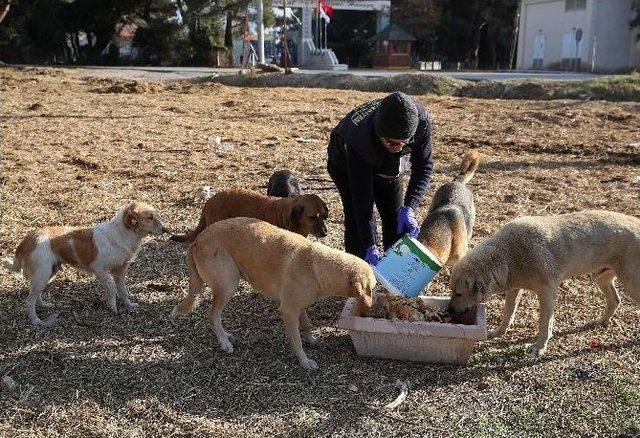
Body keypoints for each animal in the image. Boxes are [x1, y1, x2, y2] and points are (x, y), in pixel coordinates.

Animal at [3, 202, 168, 326]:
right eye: (150, 217)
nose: (166, 230)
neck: (122, 233)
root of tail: (26, 240)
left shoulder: (119, 272)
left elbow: (123, 291)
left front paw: (128, 305)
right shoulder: (100, 270)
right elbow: (112, 288)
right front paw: (112, 307)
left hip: (46, 274)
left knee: (35, 295)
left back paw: (44, 306)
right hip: (42, 274)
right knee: (29, 301)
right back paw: (36, 321)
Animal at [172, 217, 378, 372]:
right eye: (373, 288)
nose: (373, 308)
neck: (316, 265)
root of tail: (197, 241)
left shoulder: (298, 307)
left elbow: (307, 325)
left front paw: (311, 340)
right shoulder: (288, 311)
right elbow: (296, 341)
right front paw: (304, 361)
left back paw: (226, 336)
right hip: (228, 285)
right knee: (213, 316)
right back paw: (224, 342)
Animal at [448, 209, 640, 356]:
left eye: (459, 293)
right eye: (451, 291)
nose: (449, 311)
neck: (508, 255)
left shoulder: (547, 293)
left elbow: (544, 325)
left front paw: (539, 347)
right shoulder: (514, 289)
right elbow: (508, 313)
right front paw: (499, 332)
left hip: (631, 282)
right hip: (602, 277)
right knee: (615, 300)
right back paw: (601, 321)